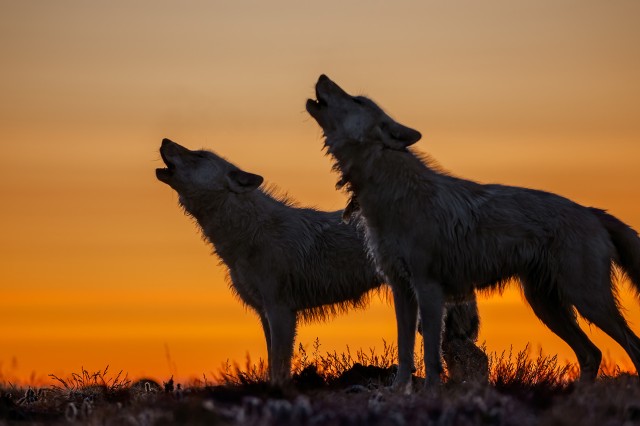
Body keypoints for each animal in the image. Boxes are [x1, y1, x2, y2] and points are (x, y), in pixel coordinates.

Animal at [158, 138, 488, 384]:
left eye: (198, 155)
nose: (164, 141)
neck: (247, 235)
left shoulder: (281, 311)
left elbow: (280, 367)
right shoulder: (265, 314)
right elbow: (272, 363)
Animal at [304, 74, 640, 390]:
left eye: (358, 100)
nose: (322, 76)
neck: (392, 193)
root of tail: (592, 211)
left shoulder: (428, 288)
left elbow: (430, 354)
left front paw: (430, 393)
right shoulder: (402, 290)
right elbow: (405, 352)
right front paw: (398, 392)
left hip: (587, 300)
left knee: (630, 345)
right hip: (547, 306)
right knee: (592, 353)